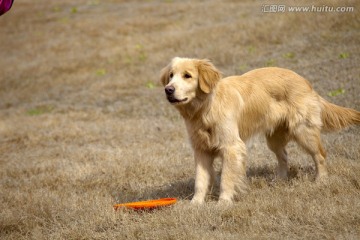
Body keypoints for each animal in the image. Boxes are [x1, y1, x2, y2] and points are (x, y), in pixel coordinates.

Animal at [160, 57, 360, 203]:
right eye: (171, 75)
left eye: (187, 75)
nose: (168, 90)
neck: (205, 109)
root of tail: (305, 82)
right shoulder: (201, 149)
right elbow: (200, 180)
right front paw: (196, 204)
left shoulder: (231, 147)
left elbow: (226, 177)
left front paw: (223, 203)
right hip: (274, 138)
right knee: (284, 156)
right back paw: (280, 180)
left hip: (304, 131)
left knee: (320, 155)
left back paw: (321, 180)